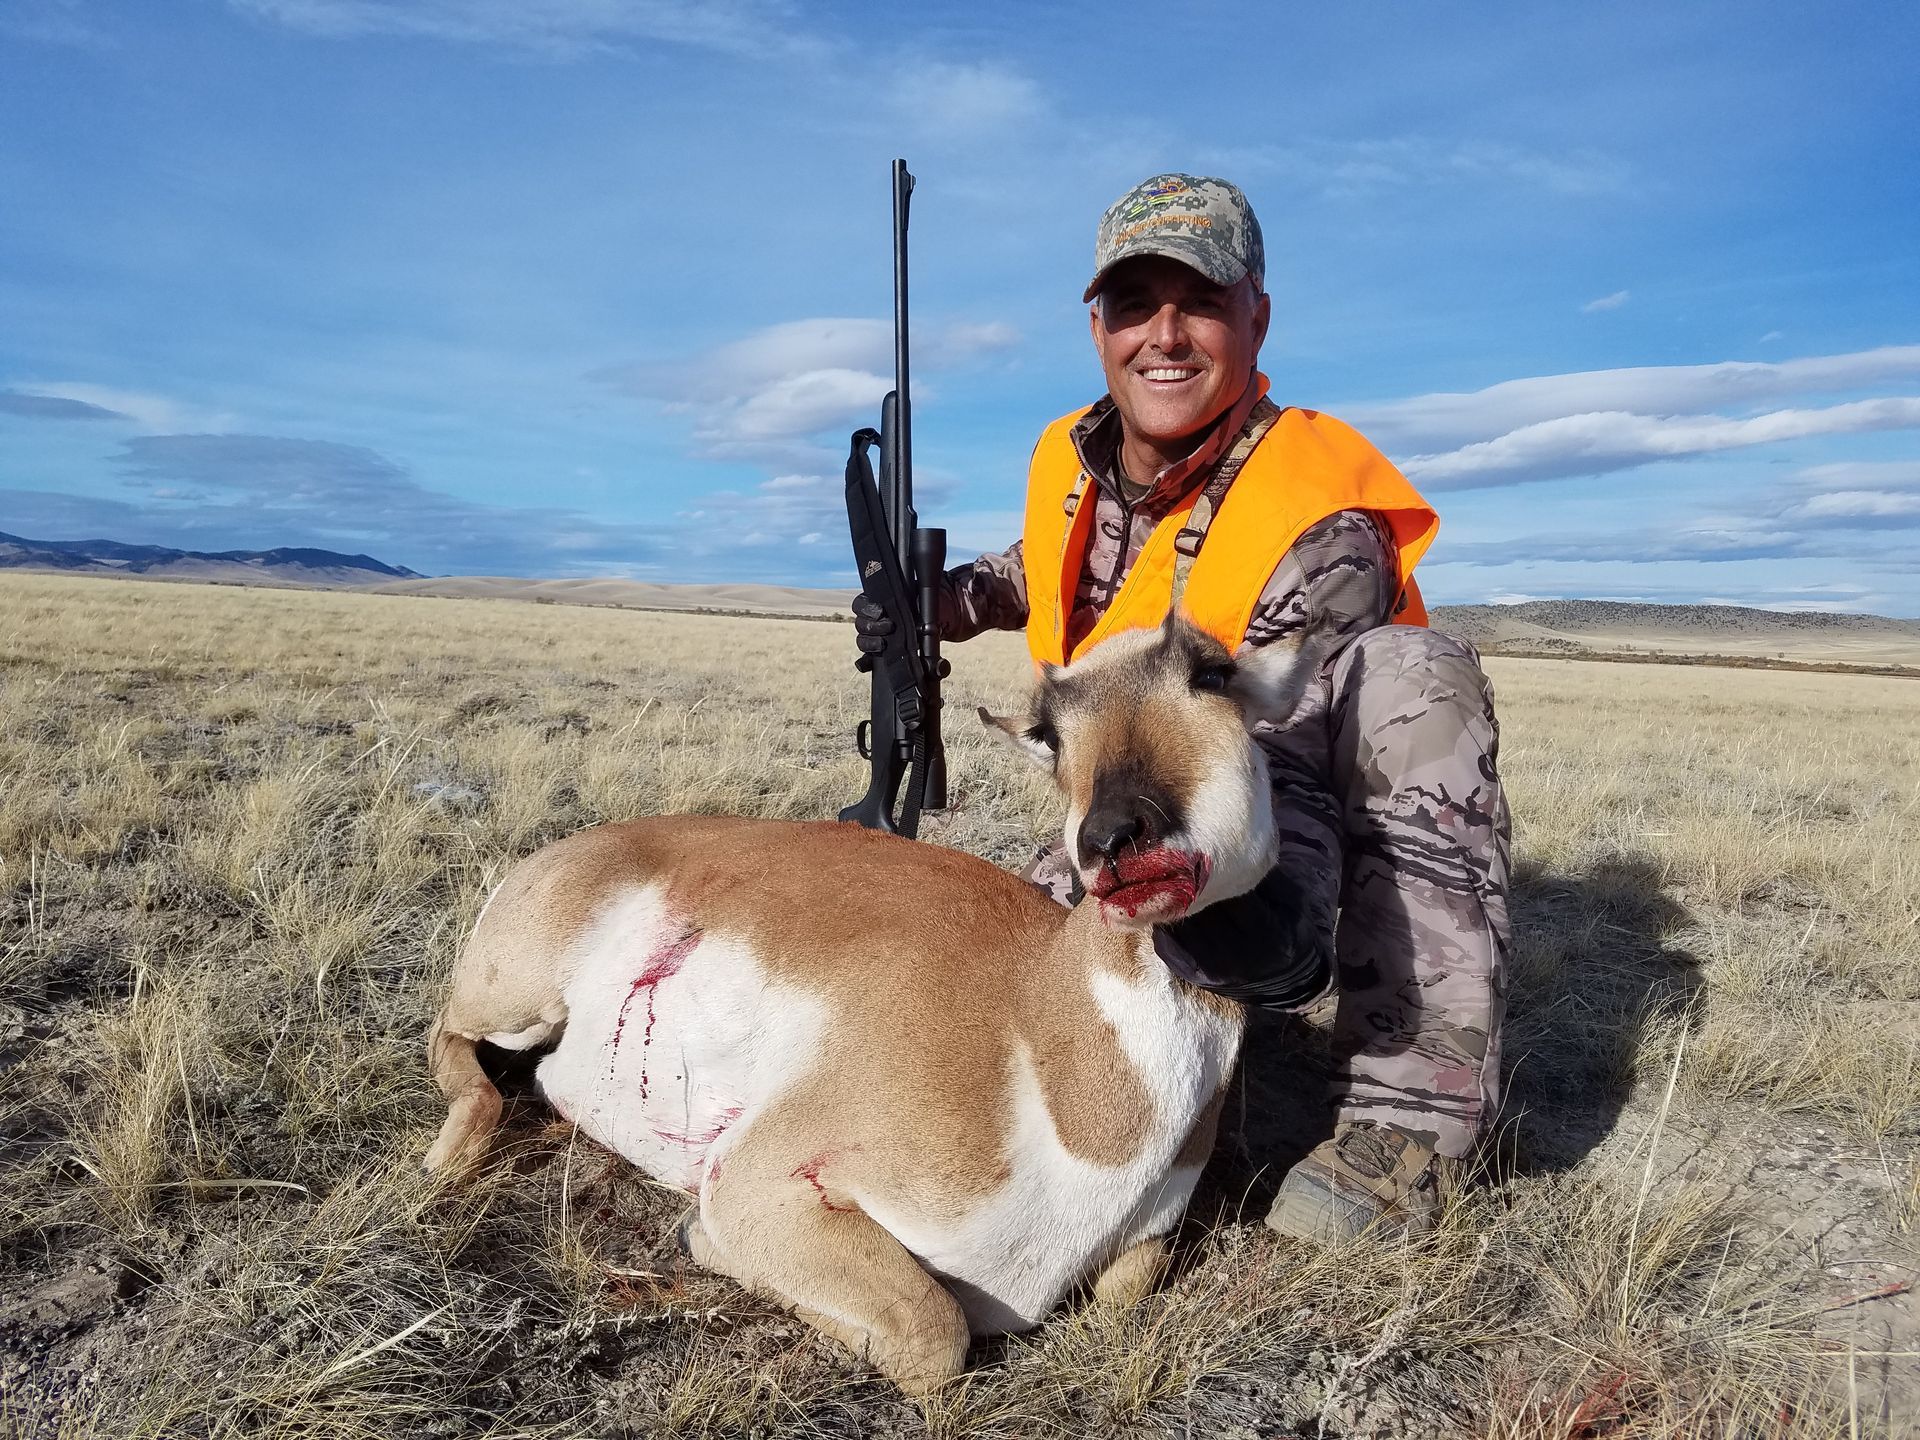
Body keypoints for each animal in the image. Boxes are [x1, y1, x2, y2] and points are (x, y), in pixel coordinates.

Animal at [423, 615, 1323, 1394]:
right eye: (1052, 730)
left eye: (1213, 674)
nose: (1111, 839)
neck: (1041, 1042)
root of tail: (585, 844)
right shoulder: (760, 1181)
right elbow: (936, 1333)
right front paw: (697, 1238)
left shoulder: (1141, 1248)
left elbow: (1116, 1298)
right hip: (517, 1003)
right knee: (456, 1047)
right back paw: (451, 1154)